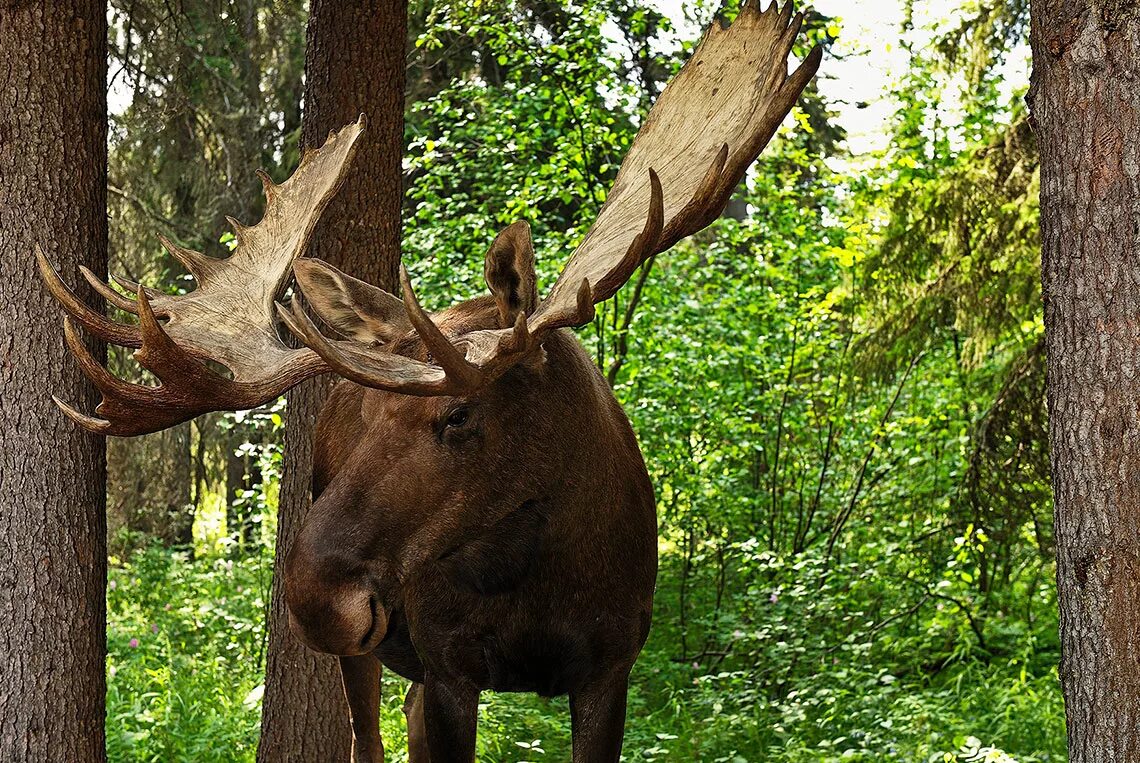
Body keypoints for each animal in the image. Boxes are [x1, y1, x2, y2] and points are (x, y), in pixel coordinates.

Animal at [38, 3, 818, 761]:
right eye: (365, 411)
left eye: (460, 413)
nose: (315, 597)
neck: (543, 574)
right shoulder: (450, 667)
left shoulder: (612, 664)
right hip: (369, 652)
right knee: (368, 736)